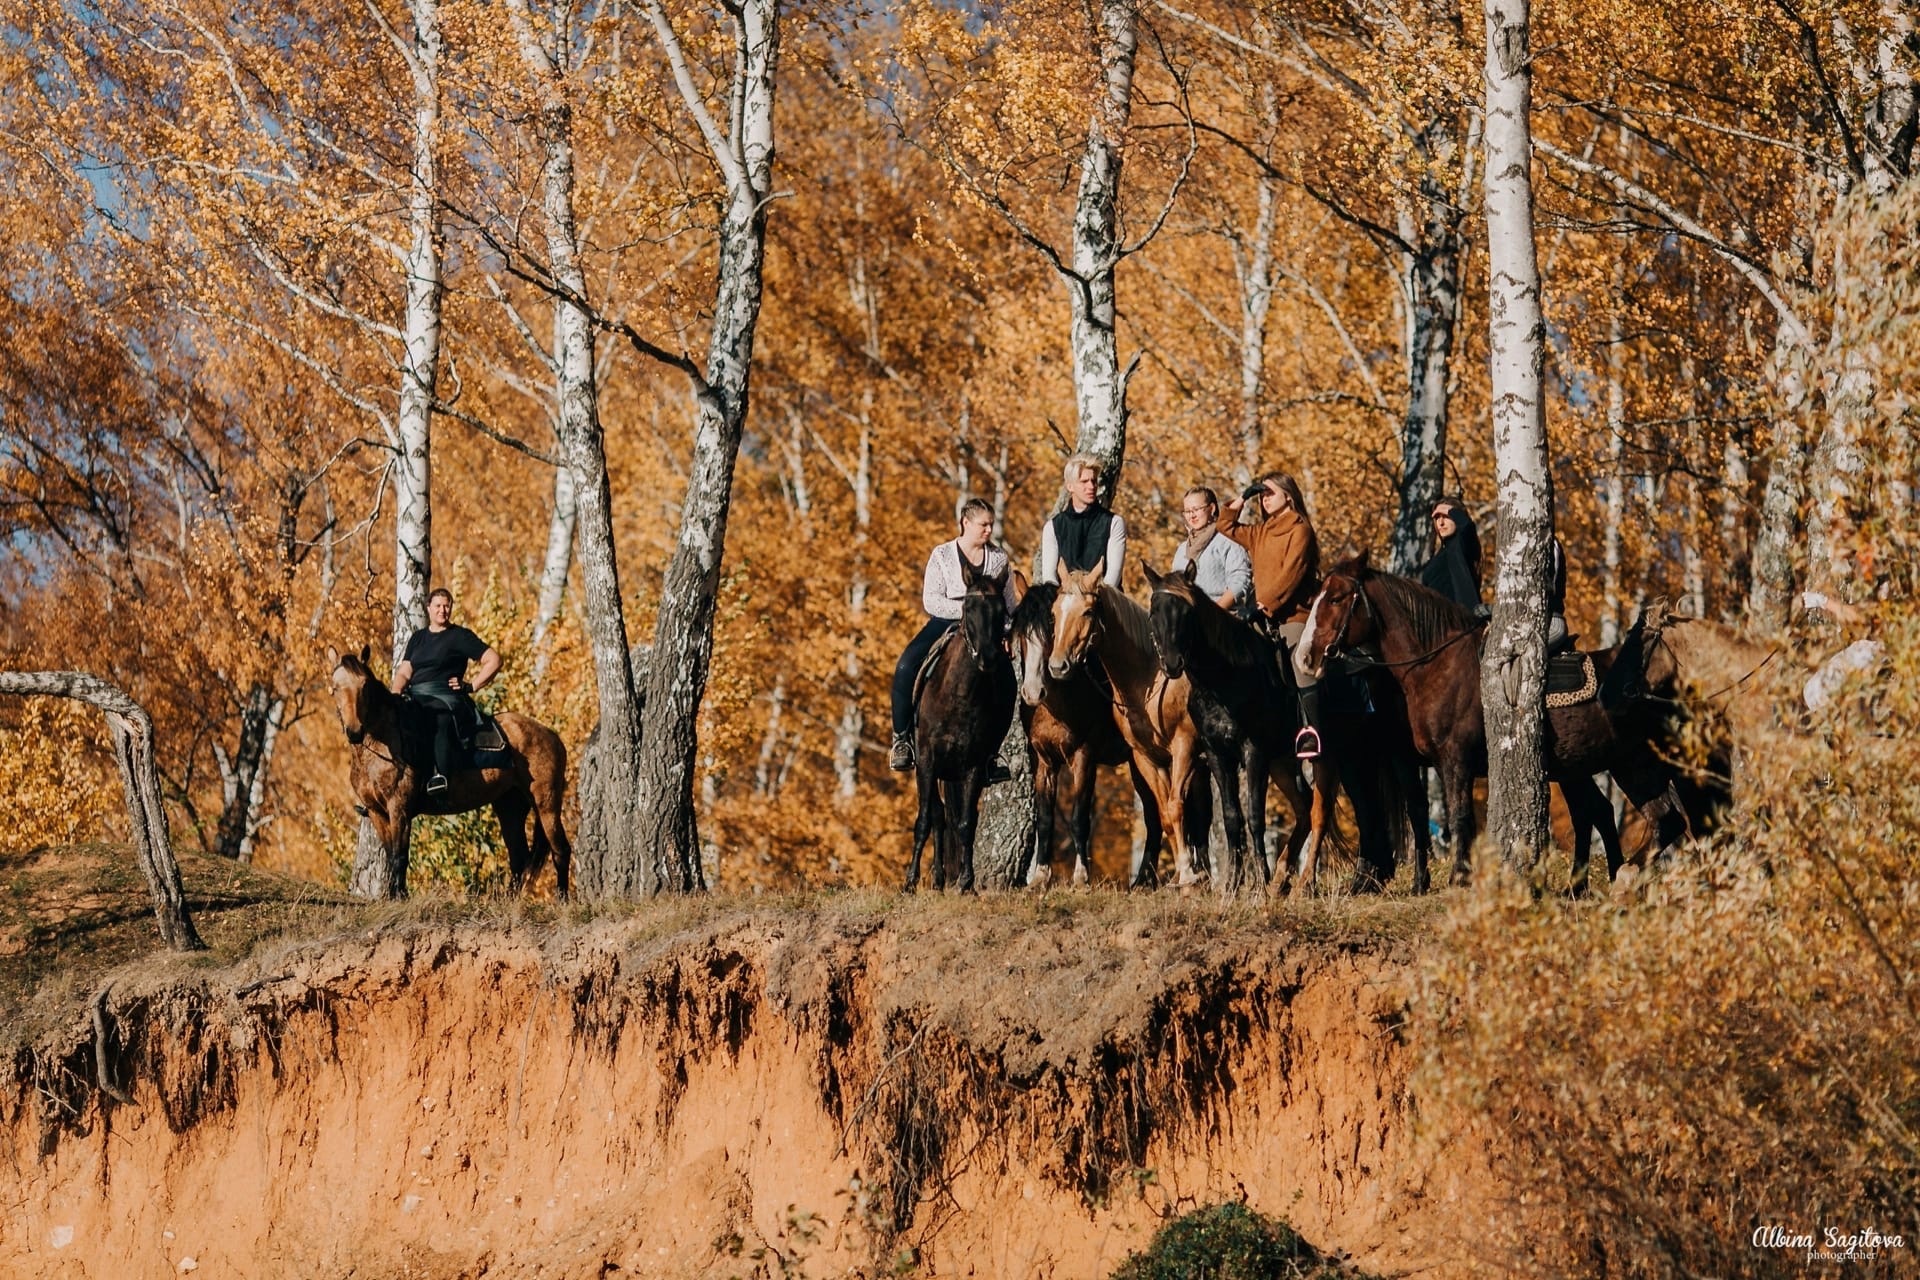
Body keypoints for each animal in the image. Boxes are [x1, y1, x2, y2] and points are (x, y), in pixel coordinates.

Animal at [326, 644, 576, 898]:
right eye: (335, 688)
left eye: (364, 686)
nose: (354, 731)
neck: (384, 743)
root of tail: (552, 736)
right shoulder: (377, 812)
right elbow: (390, 853)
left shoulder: (399, 808)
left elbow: (399, 856)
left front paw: (401, 896)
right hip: (510, 805)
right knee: (518, 856)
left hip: (546, 803)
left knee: (560, 849)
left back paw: (562, 898)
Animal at [902, 556, 1013, 898]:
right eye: (967, 607)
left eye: (1001, 611)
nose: (988, 657)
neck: (961, 694)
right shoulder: (926, 760)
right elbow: (925, 820)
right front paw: (909, 882)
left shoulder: (974, 765)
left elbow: (966, 823)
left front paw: (966, 882)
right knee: (938, 817)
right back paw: (935, 879)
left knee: (953, 817)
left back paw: (943, 879)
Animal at [1006, 579, 1198, 890]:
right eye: (1020, 633)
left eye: (1051, 631)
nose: (1033, 693)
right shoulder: (1043, 761)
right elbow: (1045, 818)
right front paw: (1040, 877)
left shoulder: (1084, 757)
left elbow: (1078, 818)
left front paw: (1081, 877)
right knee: (1155, 817)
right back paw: (1144, 880)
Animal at [1136, 560, 1336, 901]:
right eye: (1153, 612)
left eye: (1187, 612)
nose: (1172, 664)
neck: (1226, 678)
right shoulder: (1218, 755)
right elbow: (1232, 817)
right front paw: (1233, 883)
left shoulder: (1253, 753)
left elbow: (1255, 816)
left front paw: (1259, 882)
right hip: (1283, 762)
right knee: (1304, 806)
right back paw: (1282, 878)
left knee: (1319, 812)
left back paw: (1301, 883)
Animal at [1305, 556, 1697, 898]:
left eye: (1337, 598)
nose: (1309, 655)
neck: (1438, 665)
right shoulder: (1415, 761)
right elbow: (1422, 814)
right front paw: (1423, 882)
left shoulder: (1455, 759)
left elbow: (1459, 816)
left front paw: (1458, 878)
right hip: (1608, 768)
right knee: (1633, 817)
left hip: (1635, 767)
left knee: (1661, 820)